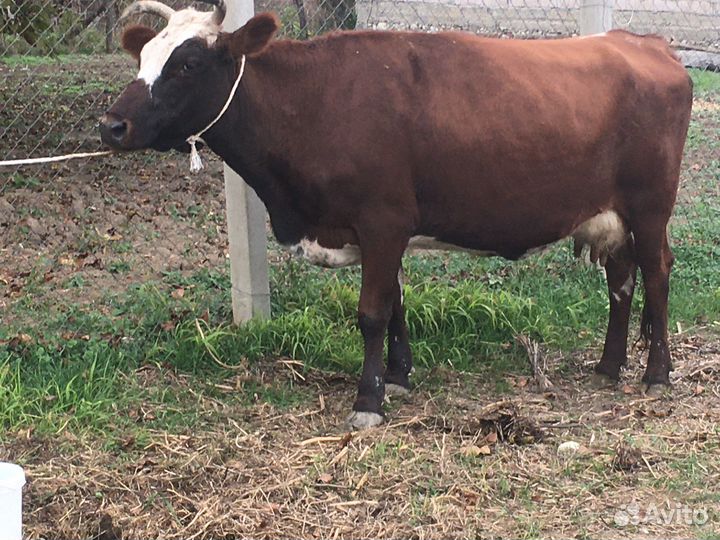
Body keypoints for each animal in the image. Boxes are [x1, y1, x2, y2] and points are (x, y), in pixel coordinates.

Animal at [100, 0, 693, 429]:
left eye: (188, 64)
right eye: (143, 59)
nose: (111, 126)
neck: (313, 101)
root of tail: (641, 43)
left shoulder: (382, 221)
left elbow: (371, 313)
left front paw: (369, 401)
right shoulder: (386, 230)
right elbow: (397, 305)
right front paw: (398, 375)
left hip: (650, 206)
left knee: (657, 271)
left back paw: (656, 373)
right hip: (609, 214)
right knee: (620, 278)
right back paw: (609, 365)